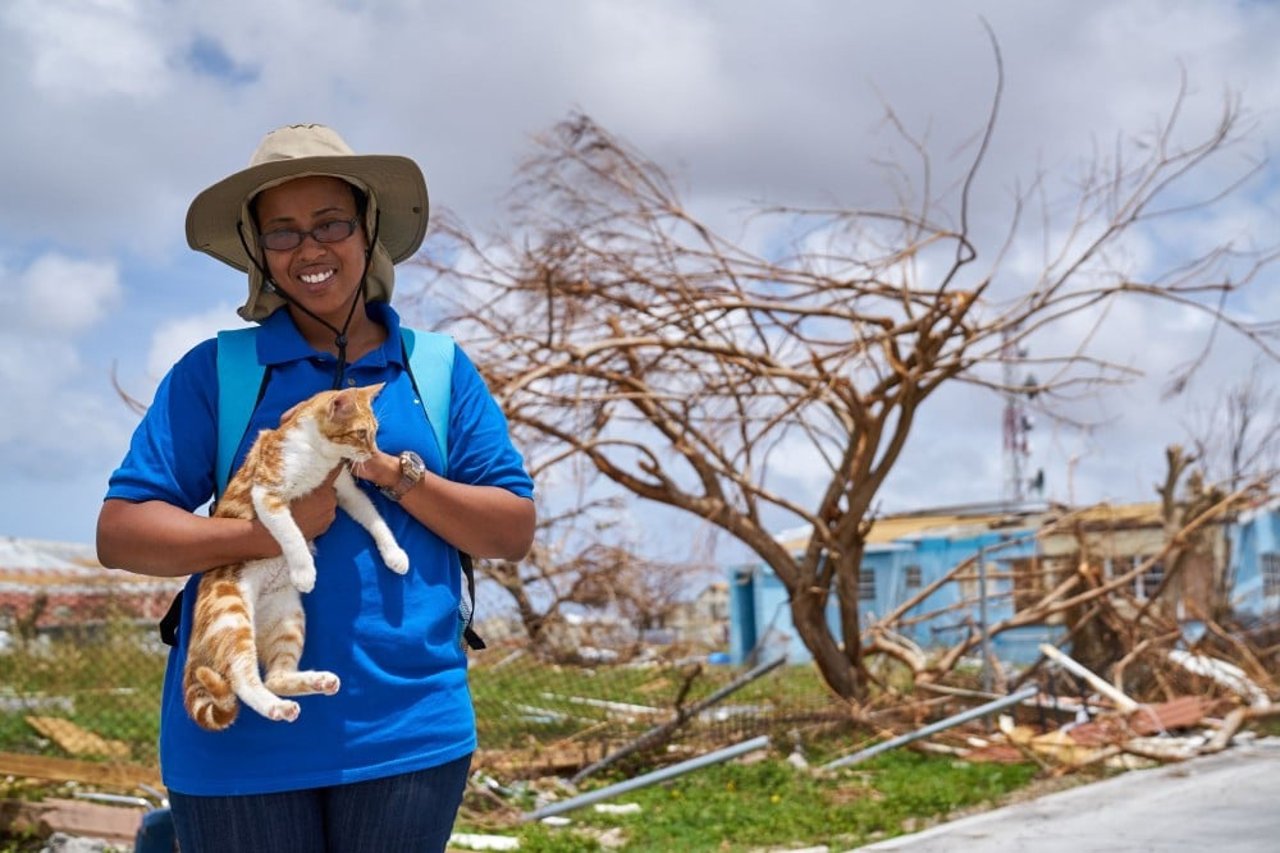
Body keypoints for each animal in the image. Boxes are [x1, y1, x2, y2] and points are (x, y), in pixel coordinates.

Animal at [180, 381, 407, 727]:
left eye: (375, 432)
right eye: (360, 434)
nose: (373, 454)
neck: (318, 456)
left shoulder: (346, 492)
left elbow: (375, 519)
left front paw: (395, 554)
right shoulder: (267, 494)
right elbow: (291, 532)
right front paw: (304, 570)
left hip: (289, 621)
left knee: (274, 676)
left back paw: (315, 683)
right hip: (231, 615)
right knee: (241, 679)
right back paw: (276, 707)